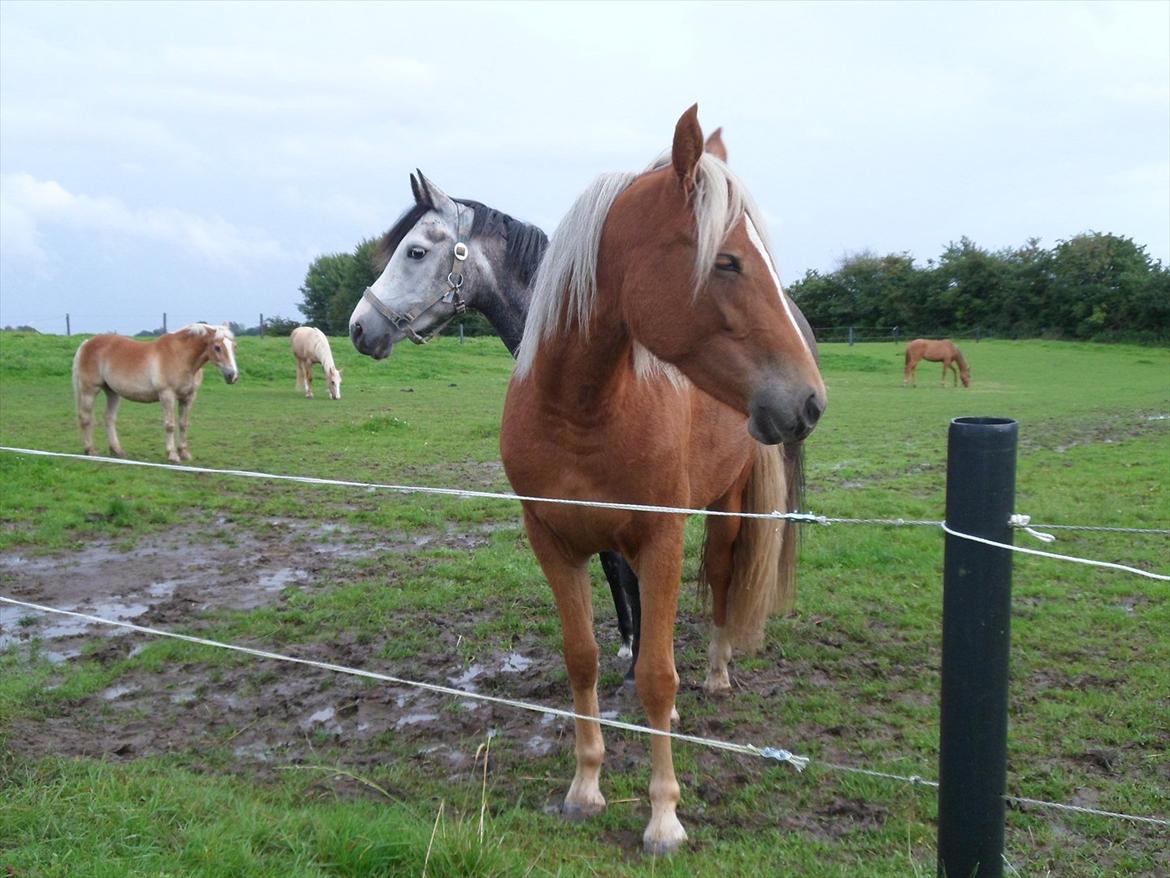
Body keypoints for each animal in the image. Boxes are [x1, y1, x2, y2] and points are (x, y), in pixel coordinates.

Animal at [71, 320, 241, 463]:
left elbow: (183, 424)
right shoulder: (167, 395)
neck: (181, 356)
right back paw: (90, 450)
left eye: (234, 347)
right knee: (86, 418)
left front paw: (184, 453)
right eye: (217, 347)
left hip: (112, 392)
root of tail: (87, 343)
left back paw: (117, 450)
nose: (232, 376)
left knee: (109, 418)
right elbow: (170, 425)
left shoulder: (188, 397)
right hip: (89, 390)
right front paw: (172, 455)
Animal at [500, 106, 823, 856]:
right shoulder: (552, 543)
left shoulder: (661, 542)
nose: (809, 402)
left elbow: (655, 675)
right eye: (727, 260)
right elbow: (584, 658)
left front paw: (664, 818)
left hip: (728, 514)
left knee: (725, 582)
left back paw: (719, 671)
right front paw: (585, 787)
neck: (581, 411)